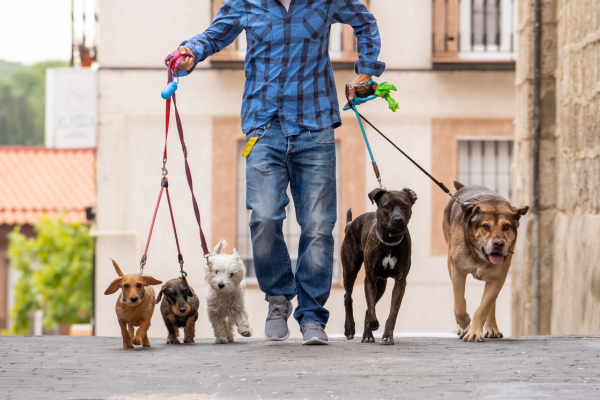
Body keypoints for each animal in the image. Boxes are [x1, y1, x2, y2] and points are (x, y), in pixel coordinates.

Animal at [342, 189, 418, 346]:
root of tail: (350, 224)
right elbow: (371, 308)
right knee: (348, 297)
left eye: (405, 206)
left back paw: (367, 335)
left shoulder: (400, 281)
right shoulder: (370, 279)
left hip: (381, 285)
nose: (398, 219)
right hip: (350, 270)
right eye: (387, 206)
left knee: (367, 308)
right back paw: (350, 328)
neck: (390, 240)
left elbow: (392, 313)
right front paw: (374, 324)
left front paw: (387, 336)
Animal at [442, 183, 528, 342]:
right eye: (485, 226)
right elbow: (459, 305)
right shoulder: (458, 271)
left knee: (490, 304)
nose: (498, 243)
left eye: (506, 227)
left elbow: (483, 307)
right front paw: (464, 322)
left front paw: (475, 332)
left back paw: (492, 328)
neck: (480, 256)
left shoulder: (498, 279)